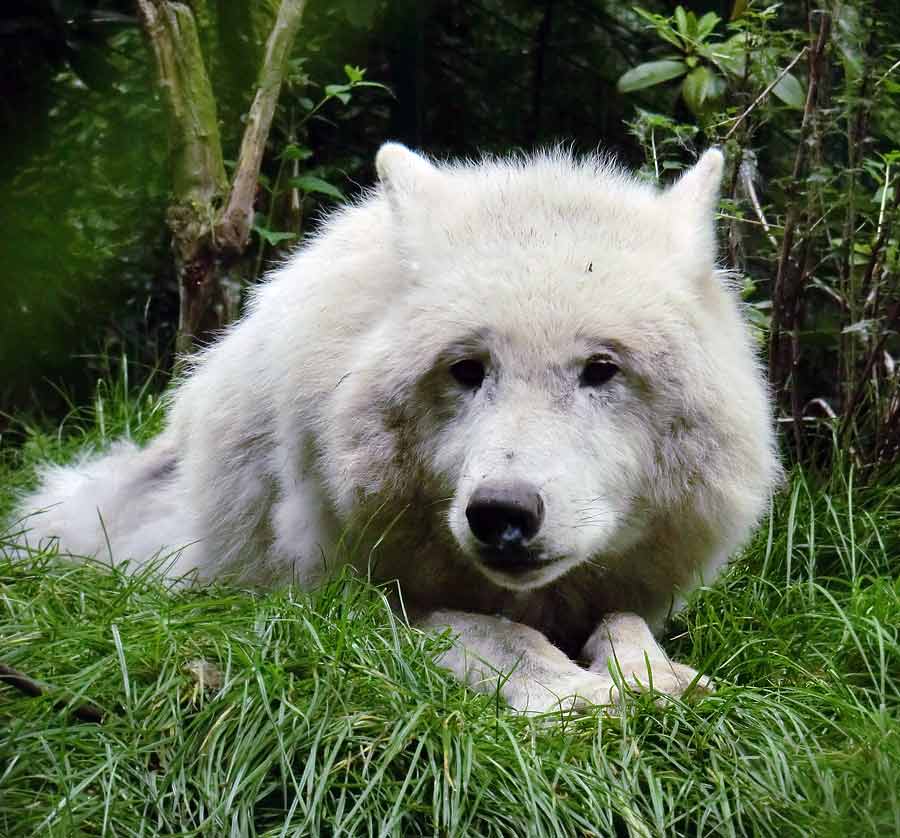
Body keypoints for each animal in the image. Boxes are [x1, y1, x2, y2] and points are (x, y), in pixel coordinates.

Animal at [14, 144, 780, 716]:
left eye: (601, 370)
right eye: (467, 369)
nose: (500, 512)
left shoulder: (625, 590)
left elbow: (624, 624)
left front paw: (655, 677)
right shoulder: (337, 599)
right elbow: (482, 630)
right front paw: (570, 691)